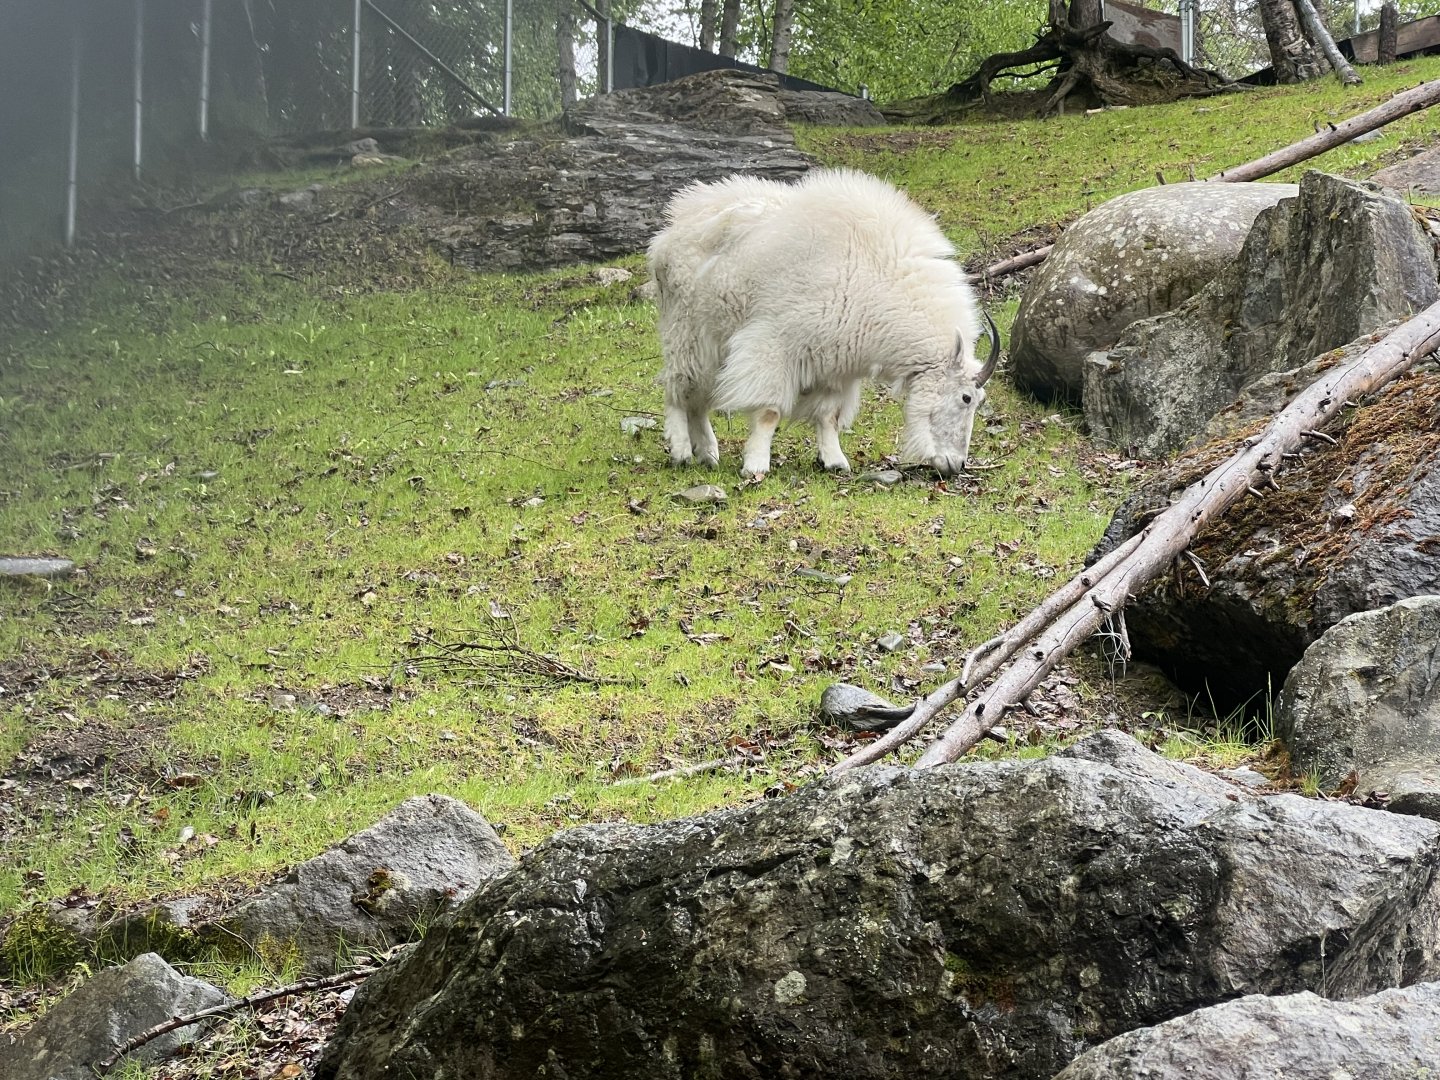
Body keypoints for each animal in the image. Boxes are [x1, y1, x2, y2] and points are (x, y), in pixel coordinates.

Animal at [647, 168, 1000, 478]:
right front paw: (756, 465)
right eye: (966, 397)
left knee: (698, 397)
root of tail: (668, 233)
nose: (956, 465)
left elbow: (828, 416)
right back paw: (681, 450)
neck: (870, 277)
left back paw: (707, 453)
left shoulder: (835, 368)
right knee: (678, 388)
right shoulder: (774, 345)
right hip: (687, 331)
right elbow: (769, 411)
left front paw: (835, 461)